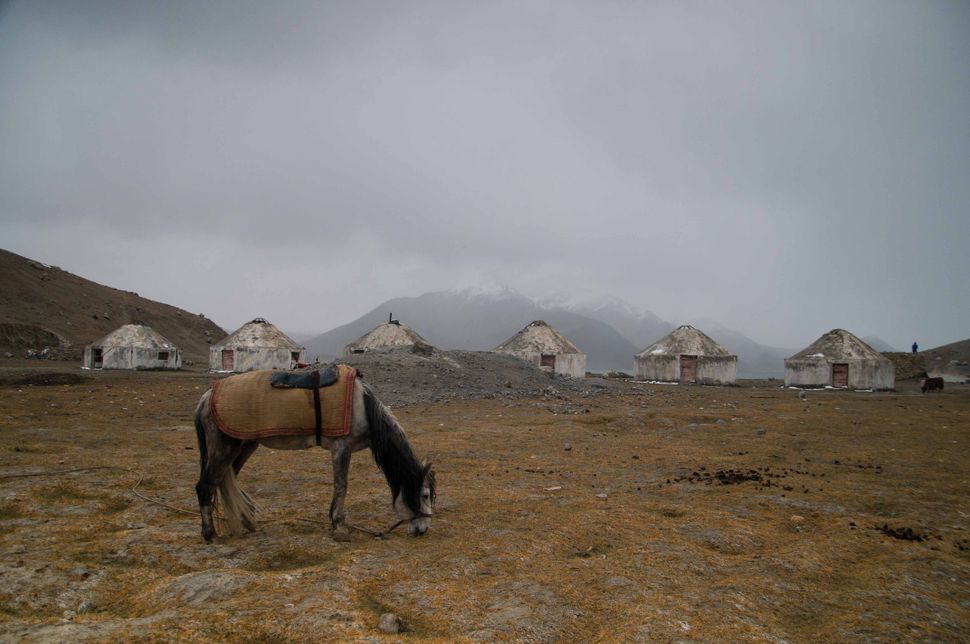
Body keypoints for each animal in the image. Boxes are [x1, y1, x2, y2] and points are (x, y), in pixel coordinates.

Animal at [193, 370, 434, 540]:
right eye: (424, 495)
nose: (423, 529)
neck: (363, 406)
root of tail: (205, 397)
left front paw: (336, 522)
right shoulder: (341, 447)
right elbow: (341, 486)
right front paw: (339, 527)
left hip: (245, 445)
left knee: (226, 480)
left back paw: (247, 522)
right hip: (224, 448)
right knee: (205, 486)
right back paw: (209, 533)